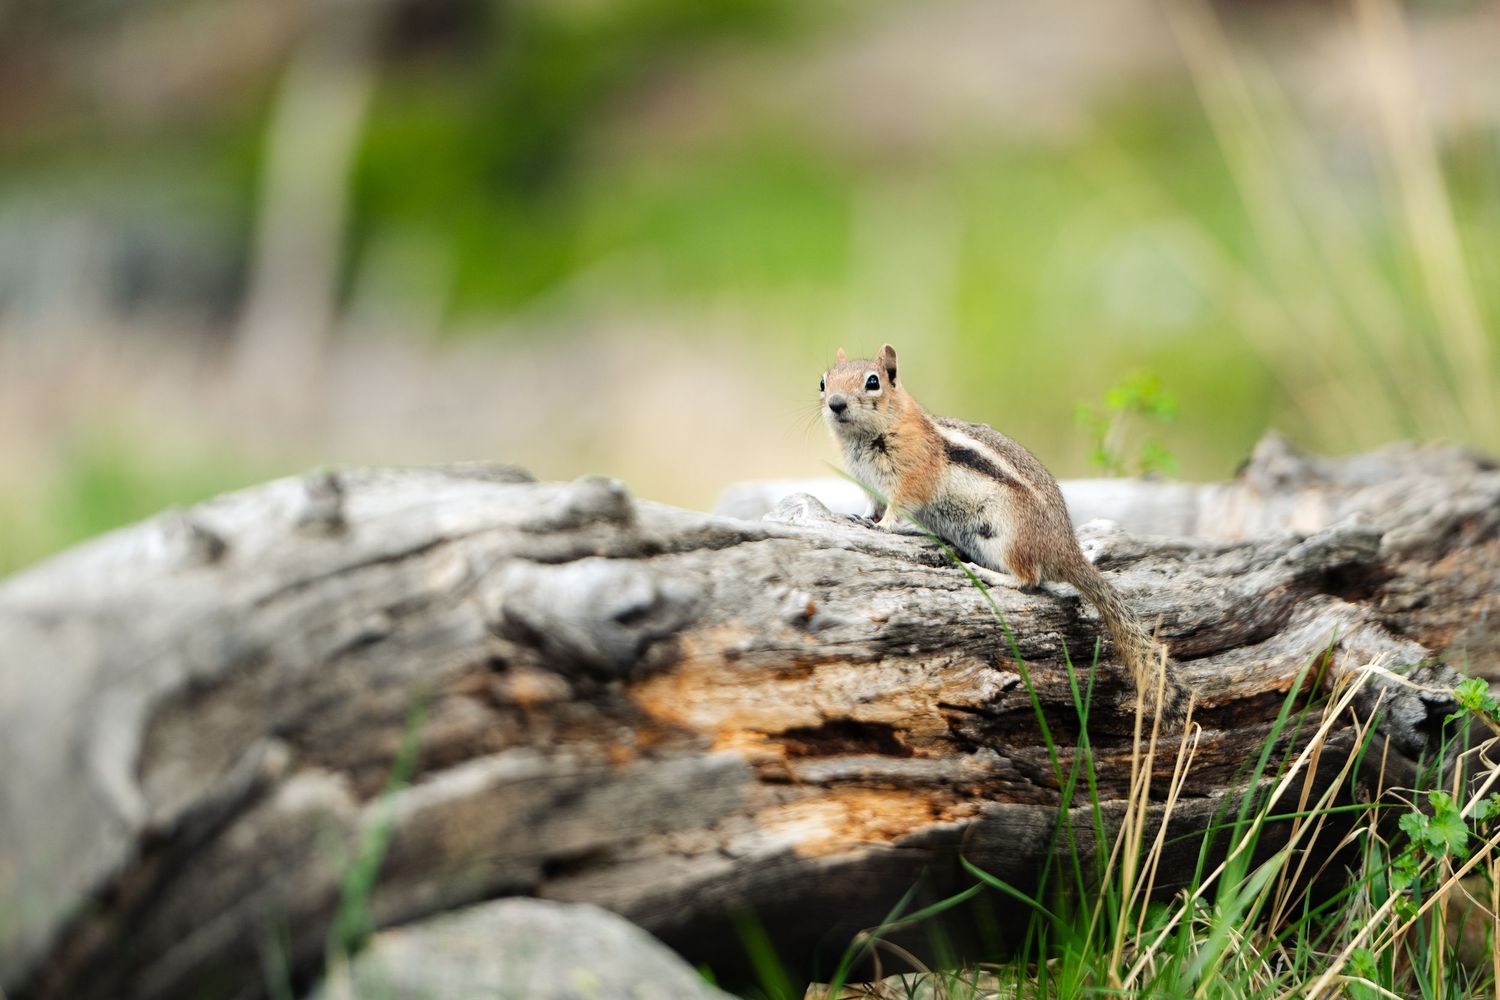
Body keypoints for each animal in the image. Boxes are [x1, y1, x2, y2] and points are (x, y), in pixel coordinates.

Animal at [820, 343, 1178, 714]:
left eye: (872, 382)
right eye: (823, 382)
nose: (835, 403)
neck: (869, 435)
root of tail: (1066, 551)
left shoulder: (913, 477)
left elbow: (898, 507)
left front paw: (885, 527)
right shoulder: (868, 484)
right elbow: (872, 505)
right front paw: (860, 518)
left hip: (1007, 536)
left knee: (1029, 578)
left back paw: (988, 573)